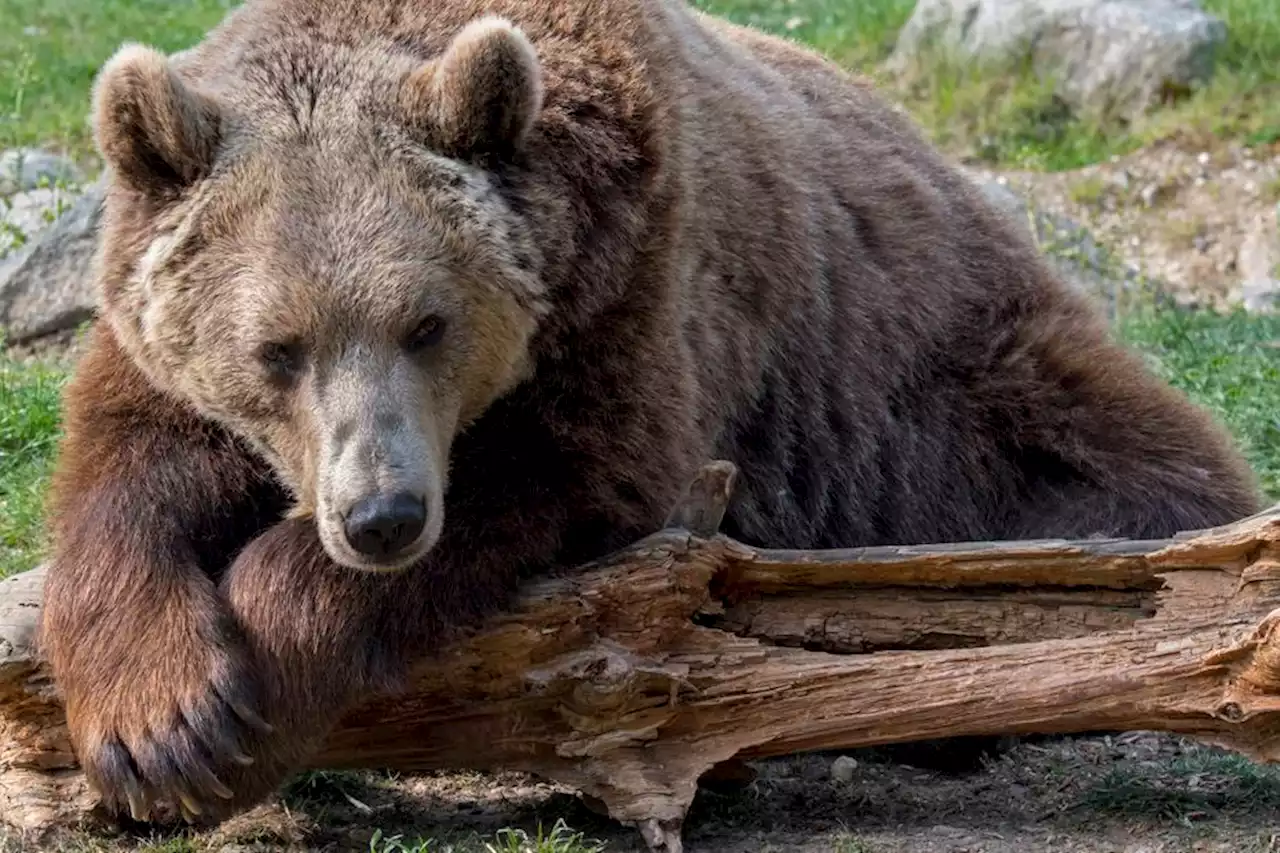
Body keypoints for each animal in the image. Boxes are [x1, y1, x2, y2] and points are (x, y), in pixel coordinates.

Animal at [37, 0, 1259, 824]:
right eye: (276, 348)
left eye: (426, 323)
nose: (381, 515)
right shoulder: (156, 325)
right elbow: (129, 456)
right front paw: (163, 721)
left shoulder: (631, 291)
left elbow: (575, 477)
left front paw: (265, 669)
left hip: (953, 374)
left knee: (1129, 490)